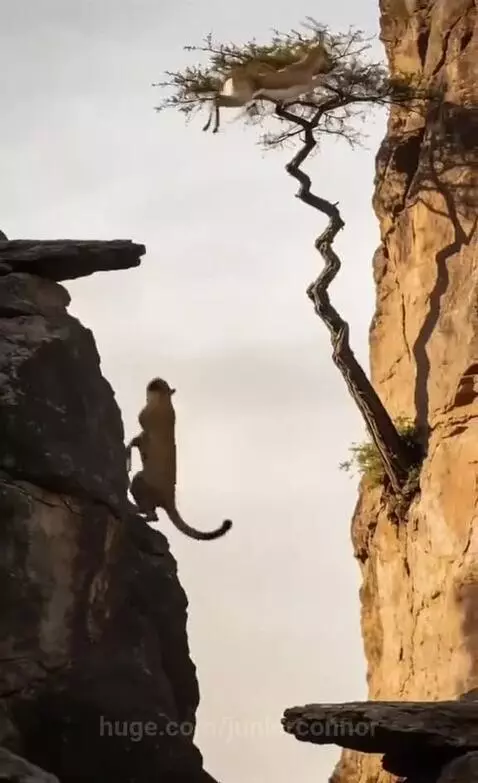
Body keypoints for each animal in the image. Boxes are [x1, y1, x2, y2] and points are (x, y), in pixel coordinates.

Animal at [202, 39, 335, 134]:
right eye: (325, 52)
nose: (331, 64)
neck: (305, 67)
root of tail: (233, 73)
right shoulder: (308, 85)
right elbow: (322, 79)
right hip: (242, 99)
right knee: (217, 100)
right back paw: (211, 127)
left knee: (216, 97)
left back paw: (210, 127)